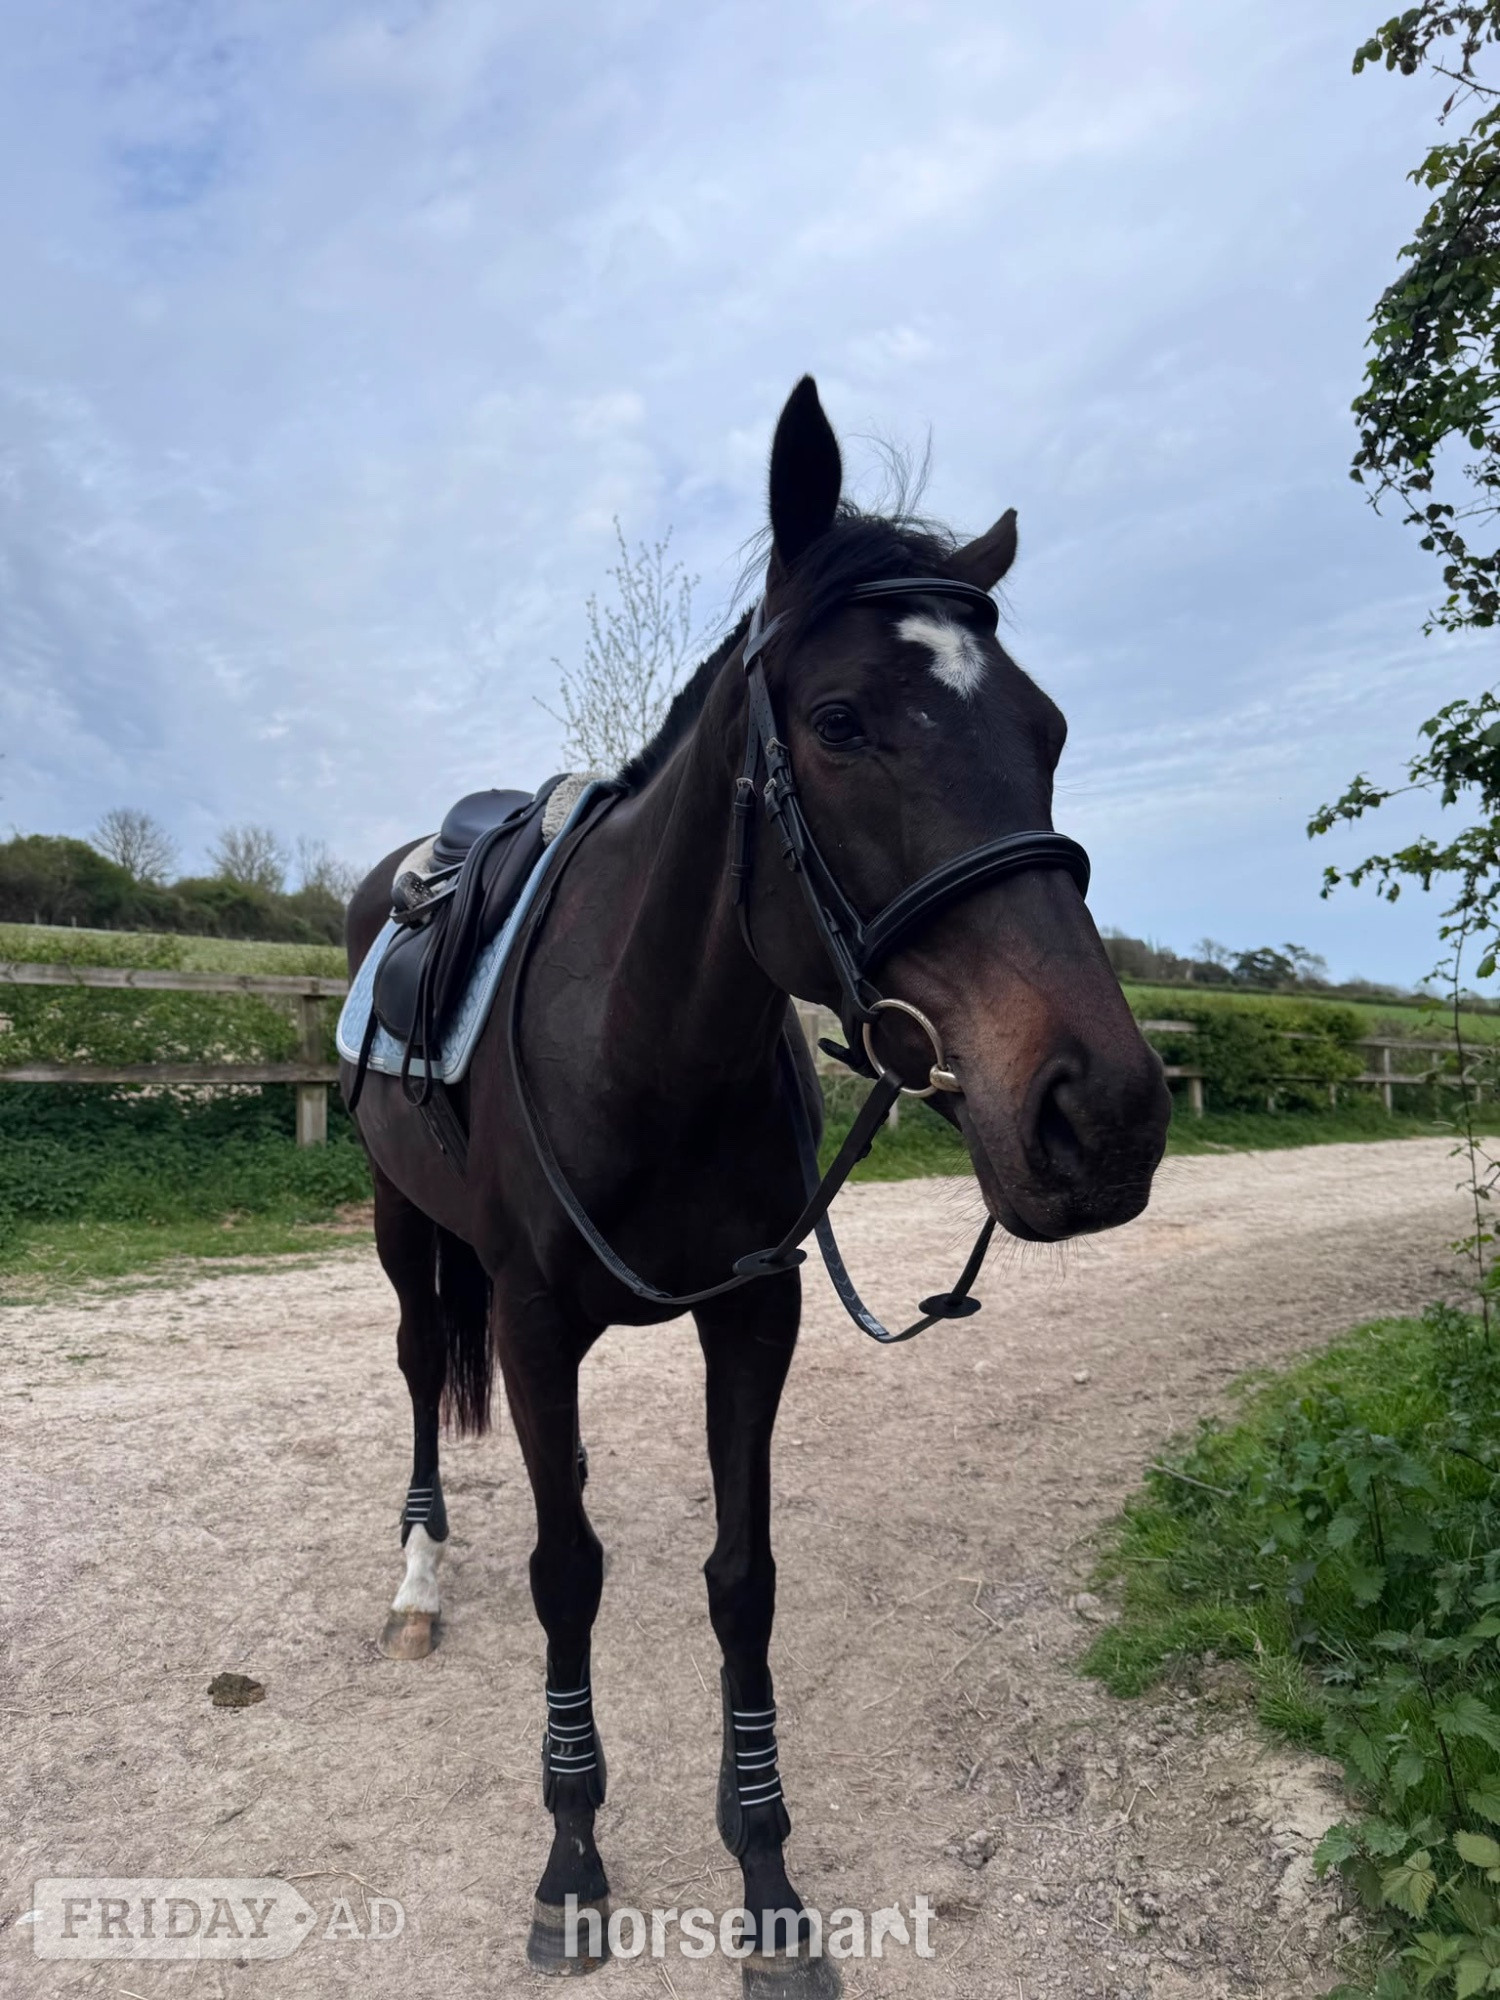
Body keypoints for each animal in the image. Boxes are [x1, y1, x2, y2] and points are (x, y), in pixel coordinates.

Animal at [342, 375, 1172, 1989]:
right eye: (842, 722)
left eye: (1044, 727)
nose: (1102, 1113)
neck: (645, 1044)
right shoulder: (534, 1325)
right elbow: (568, 1569)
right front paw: (573, 1859)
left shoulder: (754, 1317)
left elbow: (742, 1578)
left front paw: (768, 1874)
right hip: (407, 1228)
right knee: (418, 1370)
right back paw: (416, 1580)